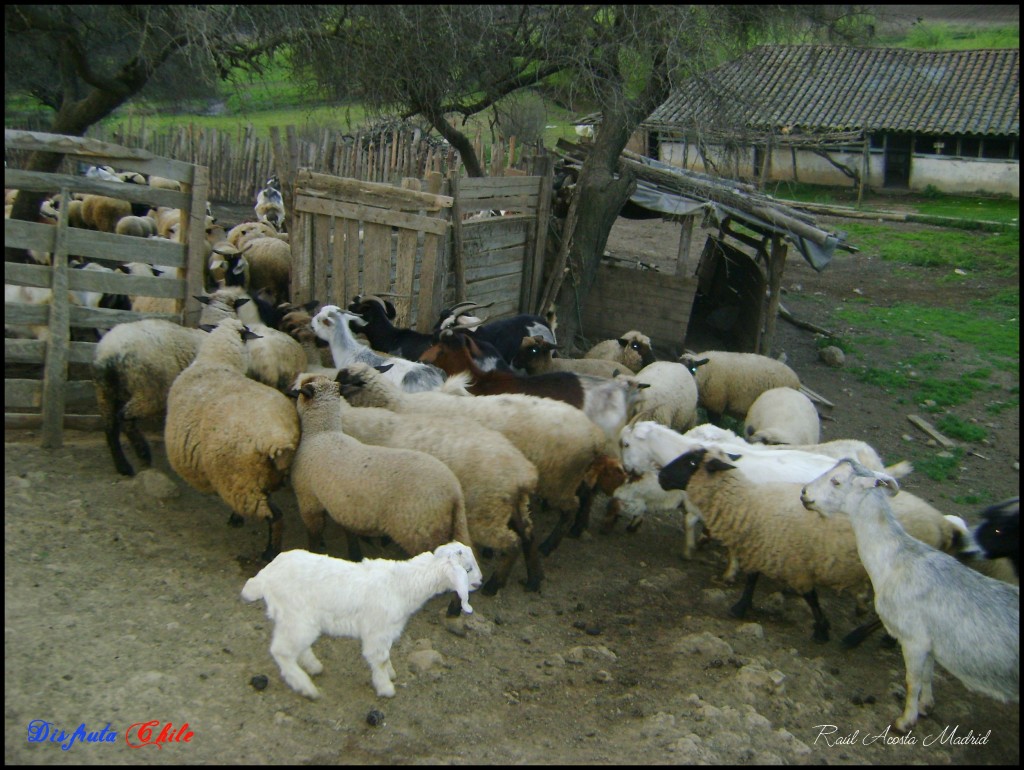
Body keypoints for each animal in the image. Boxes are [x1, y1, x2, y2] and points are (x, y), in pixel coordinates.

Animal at [164, 319, 299, 561]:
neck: (216, 362)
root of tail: (278, 437)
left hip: (239, 476)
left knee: (275, 516)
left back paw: (270, 551)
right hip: (253, 477)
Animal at [241, 540, 481, 696]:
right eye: (468, 569)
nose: (480, 583)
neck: (403, 583)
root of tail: (264, 576)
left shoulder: (385, 632)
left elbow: (386, 656)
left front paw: (390, 674)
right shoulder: (377, 631)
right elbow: (380, 659)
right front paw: (386, 687)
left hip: (295, 619)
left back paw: (313, 666)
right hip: (298, 617)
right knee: (281, 651)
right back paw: (305, 686)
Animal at [292, 370, 540, 593]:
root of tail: (524, 474)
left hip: (485, 515)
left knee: (511, 543)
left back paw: (494, 583)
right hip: (515, 507)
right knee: (527, 535)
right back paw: (533, 579)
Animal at [659, 444, 970, 643]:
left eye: (691, 462)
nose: (661, 475)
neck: (749, 501)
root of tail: (942, 523)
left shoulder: (795, 560)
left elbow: (809, 596)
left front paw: (822, 630)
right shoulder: (766, 545)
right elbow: (752, 577)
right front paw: (740, 606)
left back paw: (857, 637)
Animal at [802, 460, 1019, 729]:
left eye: (836, 481)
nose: (804, 493)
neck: (894, 560)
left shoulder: (913, 639)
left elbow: (912, 681)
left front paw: (905, 721)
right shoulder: (929, 642)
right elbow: (927, 675)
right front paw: (926, 706)